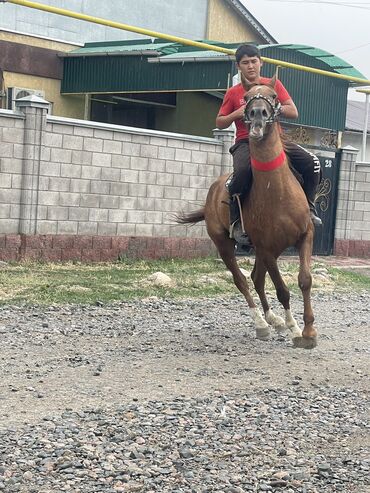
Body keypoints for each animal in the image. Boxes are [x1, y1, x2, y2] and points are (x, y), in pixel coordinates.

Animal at [178, 75, 316, 348]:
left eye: (274, 96)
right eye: (245, 98)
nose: (257, 114)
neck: (277, 191)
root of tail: (212, 193)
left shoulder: (304, 235)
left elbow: (304, 280)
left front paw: (308, 331)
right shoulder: (265, 248)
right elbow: (282, 290)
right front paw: (295, 328)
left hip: (268, 248)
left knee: (256, 278)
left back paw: (274, 320)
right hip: (224, 243)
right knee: (242, 280)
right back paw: (262, 324)